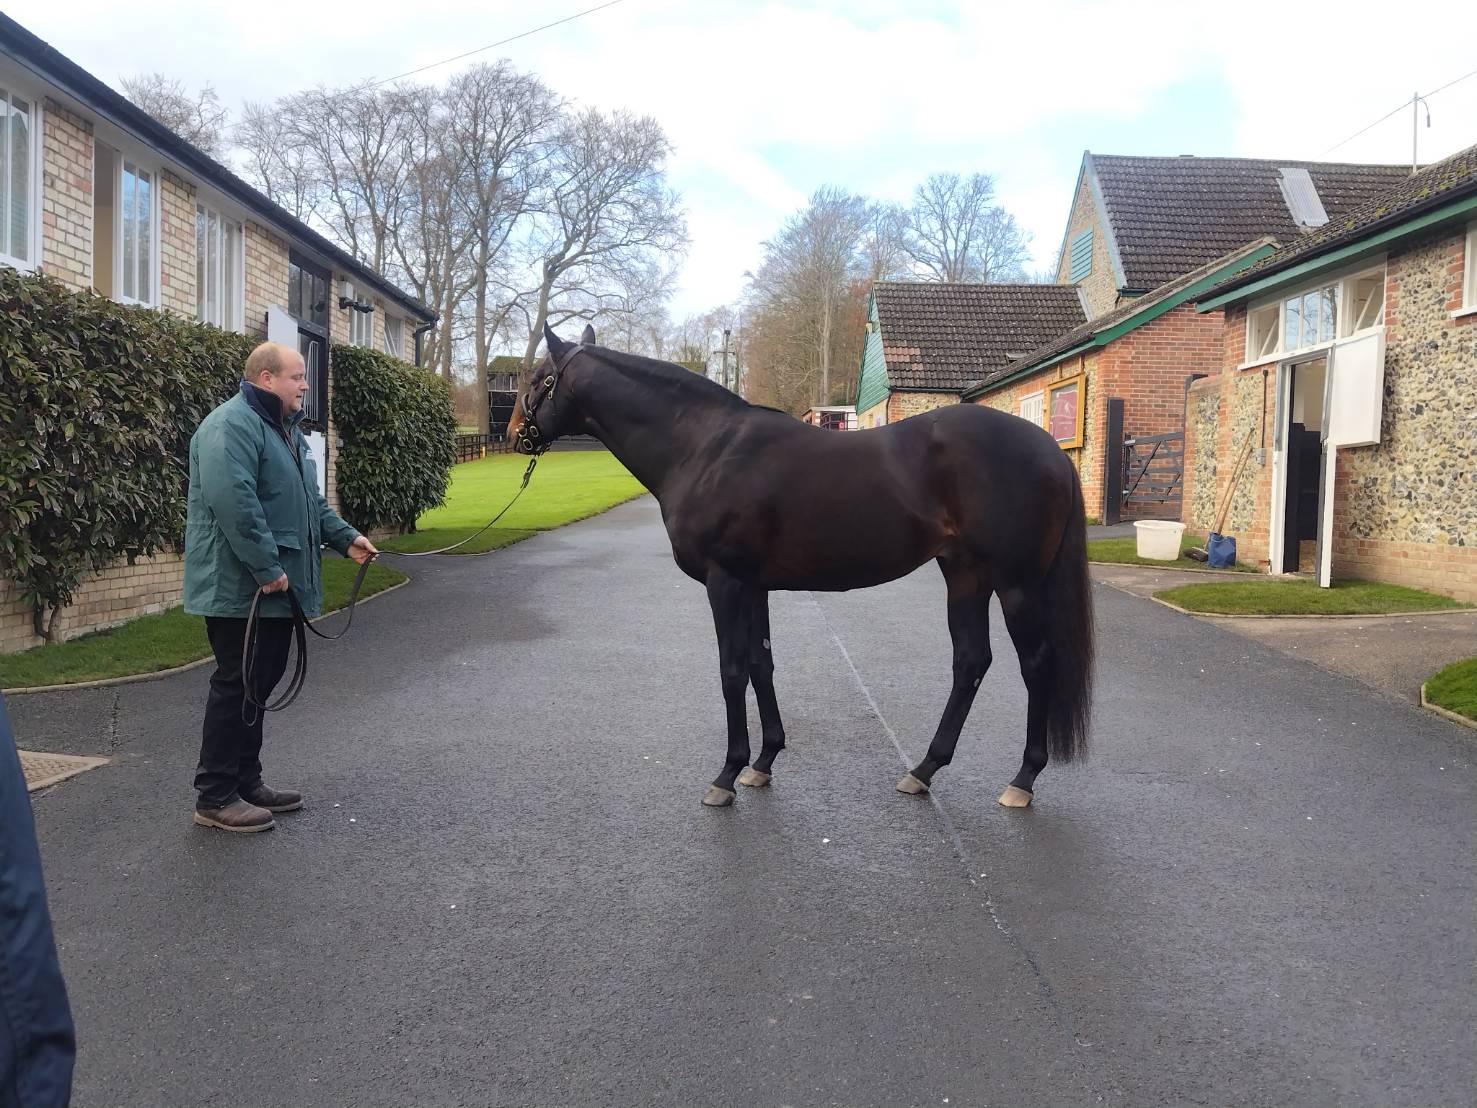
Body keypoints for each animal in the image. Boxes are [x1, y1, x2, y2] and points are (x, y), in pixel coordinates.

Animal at [513, 325, 1092, 809]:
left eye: (541, 378)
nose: (518, 433)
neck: (704, 449)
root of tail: (1049, 447)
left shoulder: (725, 583)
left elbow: (731, 671)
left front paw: (726, 775)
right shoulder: (754, 586)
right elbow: (760, 664)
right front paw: (763, 763)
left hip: (1016, 585)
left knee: (1036, 663)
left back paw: (1022, 780)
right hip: (964, 576)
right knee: (970, 662)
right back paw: (923, 770)